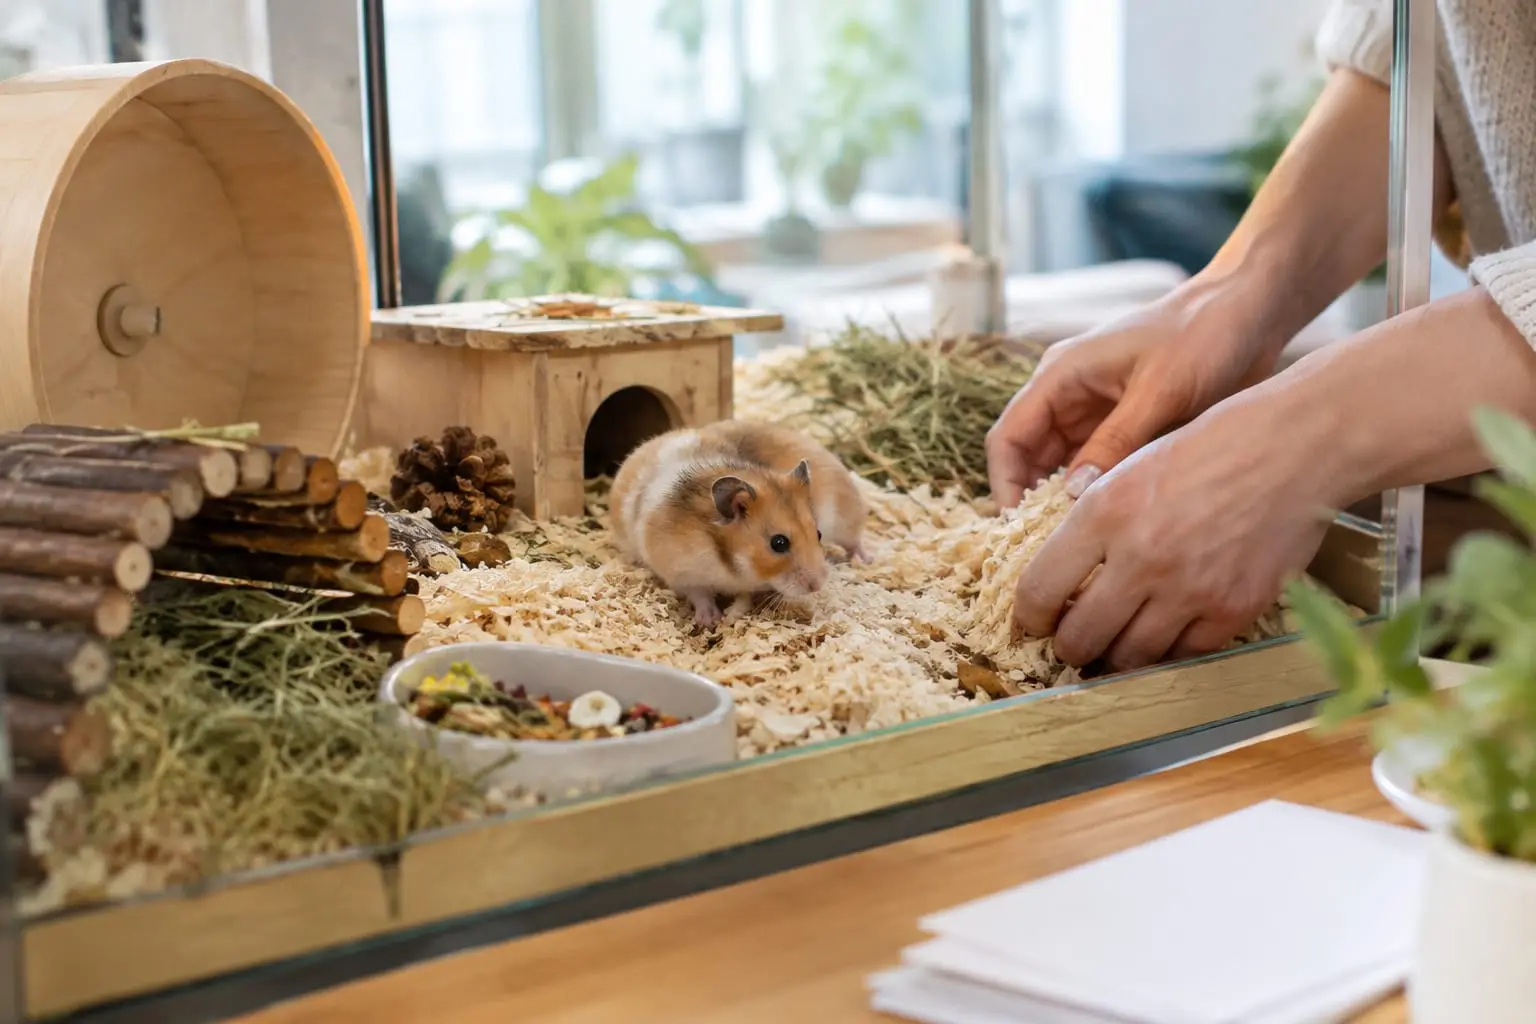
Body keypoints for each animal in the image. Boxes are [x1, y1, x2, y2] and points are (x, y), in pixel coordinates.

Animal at [608, 420, 869, 627]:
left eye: (818, 534)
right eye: (779, 543)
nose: (818, 585)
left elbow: (743, 597)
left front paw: (732, 614)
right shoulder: (679, 573)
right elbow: (700, 594)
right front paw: (711, 620)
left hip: (845, 517)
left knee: (855, 540)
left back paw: (865, 560)